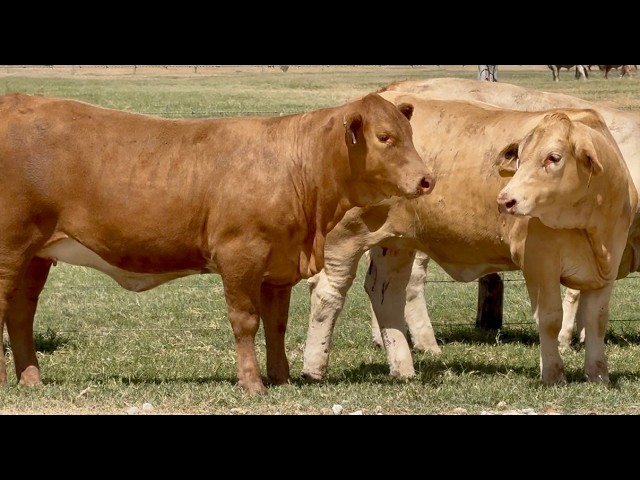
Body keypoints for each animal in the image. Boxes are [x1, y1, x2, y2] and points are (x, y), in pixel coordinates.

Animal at [0, 92, 434, 396]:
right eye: (384, 137)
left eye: (410, 134)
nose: (427, 179)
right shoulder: (239, 255)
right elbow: (246, 321)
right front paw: (252, 383)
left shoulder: (279, 267)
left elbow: (276, 324)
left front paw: (281, 379)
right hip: (10, 249)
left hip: (36, 255)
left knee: (21, 313)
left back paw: (31, 378)